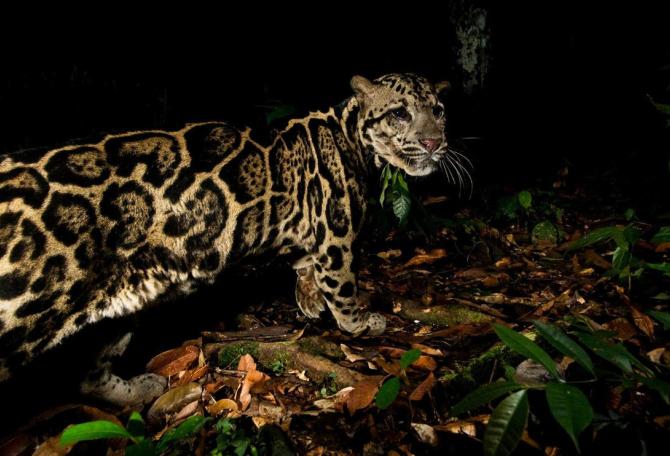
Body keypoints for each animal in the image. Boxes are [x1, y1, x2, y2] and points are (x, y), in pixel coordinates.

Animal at [0, 73, 451, 405]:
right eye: (399, 113)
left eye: (439, 110)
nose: (435, 141)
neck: (352, 136)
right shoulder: (336, 233)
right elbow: (342, 288)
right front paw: (359, 322)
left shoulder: (308, 230)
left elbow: (306, 265)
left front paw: (308, 300)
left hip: (123, 299)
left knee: (90, 374)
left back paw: (137, 389)